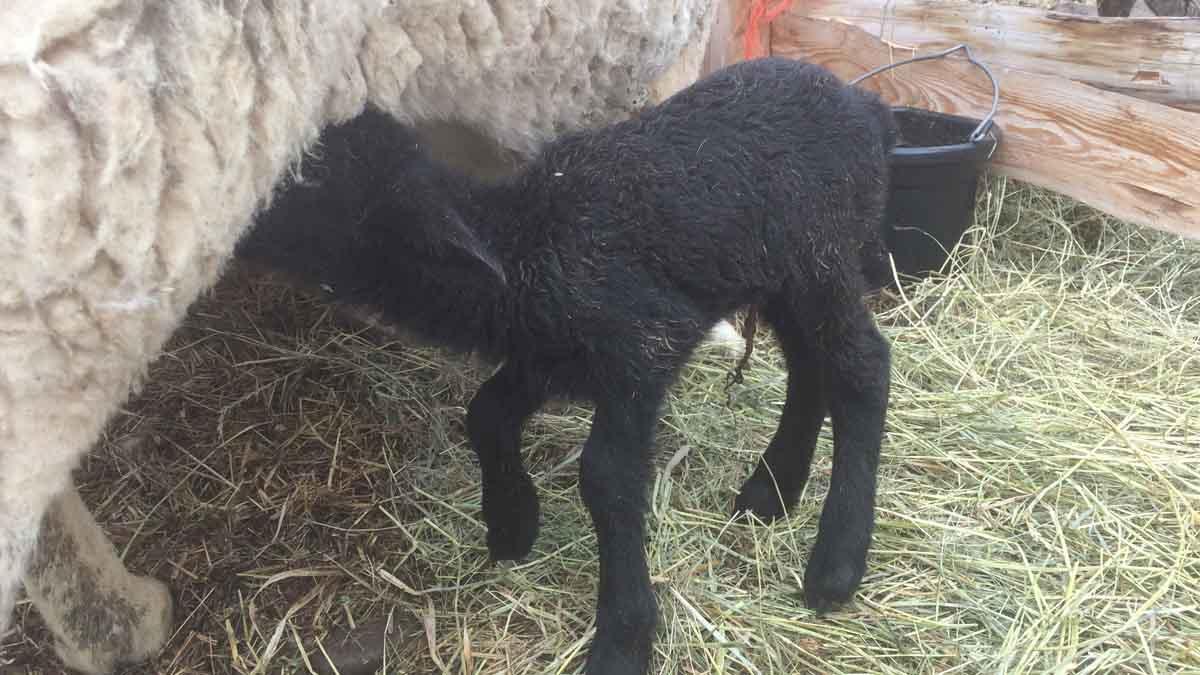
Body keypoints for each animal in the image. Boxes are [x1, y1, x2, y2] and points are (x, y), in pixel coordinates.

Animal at [234, 56, 897, 672]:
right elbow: (485, 413)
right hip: (782, 272)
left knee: (862, 367)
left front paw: (623, 637)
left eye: (308, 180)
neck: (522, 245)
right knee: (810, 366)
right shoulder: (547, 355)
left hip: (821, 252)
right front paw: (511, 522)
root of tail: (864, 105)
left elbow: (605, 476)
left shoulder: (642, 345)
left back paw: (836, 561)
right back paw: (770, 490)